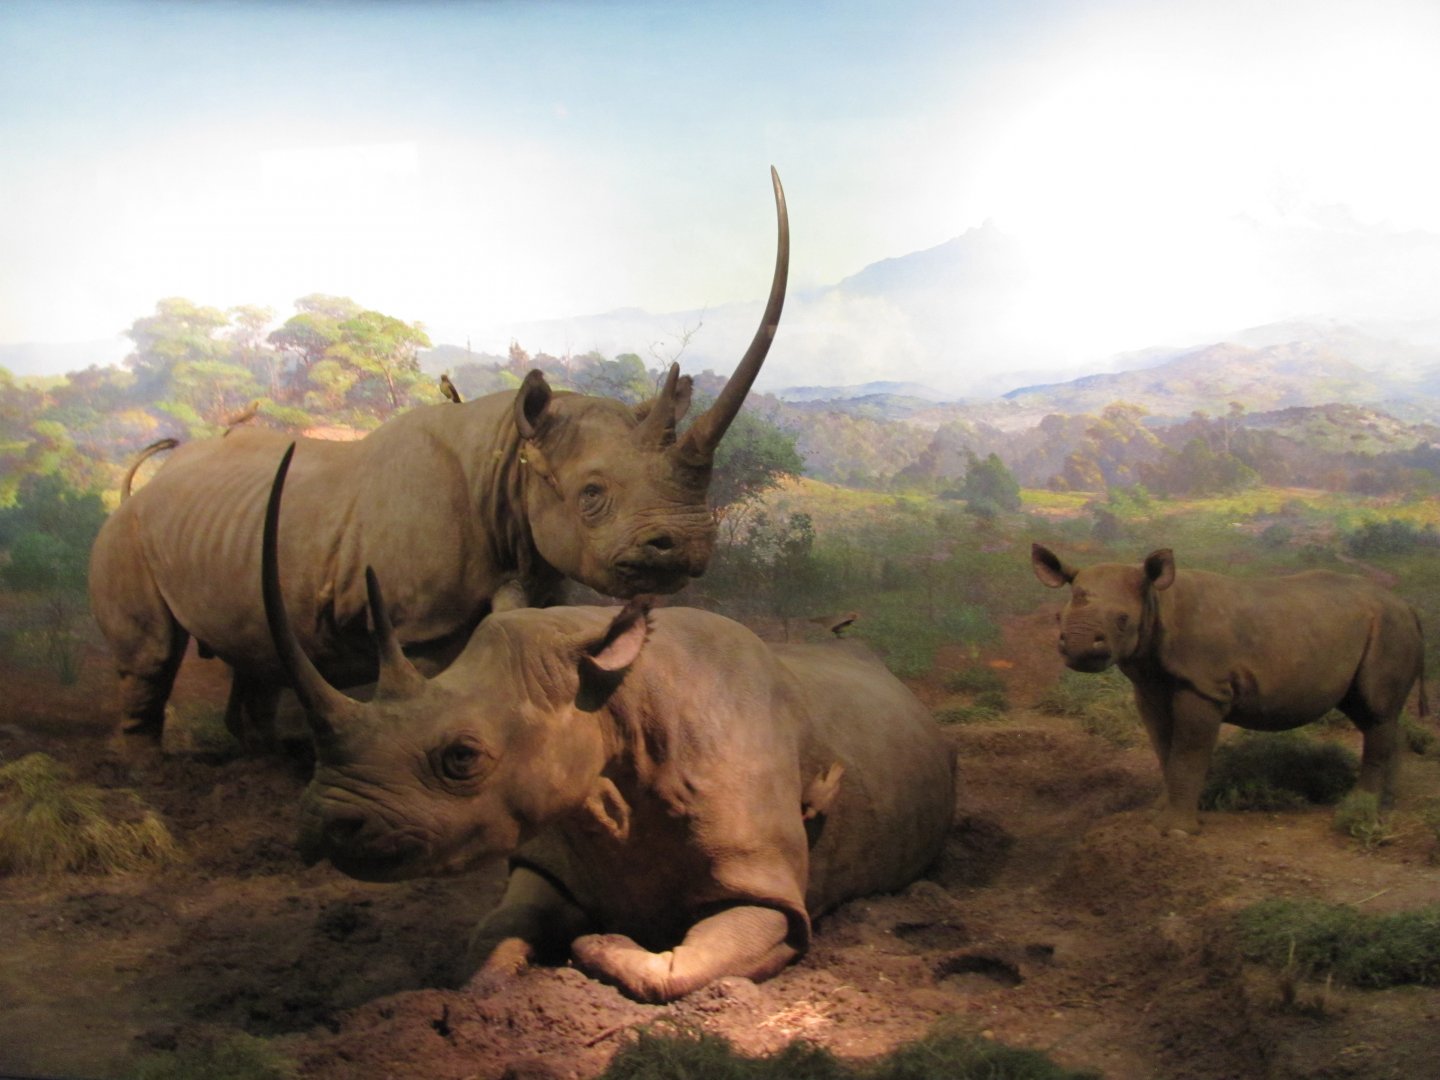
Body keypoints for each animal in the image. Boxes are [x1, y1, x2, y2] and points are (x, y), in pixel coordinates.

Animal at [89, 169, 789, 748]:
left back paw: (261, 754)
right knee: (151, 654)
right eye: (592, 495)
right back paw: (147, 770)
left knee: (254, 646)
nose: (687, 547)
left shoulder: (536, 573)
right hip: (126, 533)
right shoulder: (419, 620)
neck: (510, 460)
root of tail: (137, 489)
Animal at [260, 445, 957, 1002]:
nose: (322, 825)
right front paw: (484, 990)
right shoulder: (554, 842)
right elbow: (493, 933)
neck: (614, 704)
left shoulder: (766, 890)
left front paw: (595, 948)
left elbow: (683, 964)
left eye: (463, 757)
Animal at [1032, 543, 1427, 835]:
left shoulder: (1205, 688)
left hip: (1388, 627)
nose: (1079, 649)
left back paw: (1359, 813)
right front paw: (1157, 814)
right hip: (1371, 625)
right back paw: (1384, 806)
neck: (1157, 602)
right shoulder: (1151, 686)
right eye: (1057, 618)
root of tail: (1408, 604)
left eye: (1123, 619)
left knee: (1376, 711)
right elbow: (1163, 746)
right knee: (1372, 714)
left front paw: (1177, 830)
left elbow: (1188, 753)